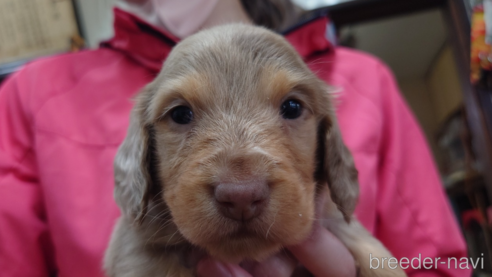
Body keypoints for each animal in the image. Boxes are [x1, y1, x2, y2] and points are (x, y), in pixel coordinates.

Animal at [104, 24, 408, 276]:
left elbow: (370, 249)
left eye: (292, 107)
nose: (241, 197)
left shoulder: (335, 220)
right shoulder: (135, 249)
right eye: (180, 114)